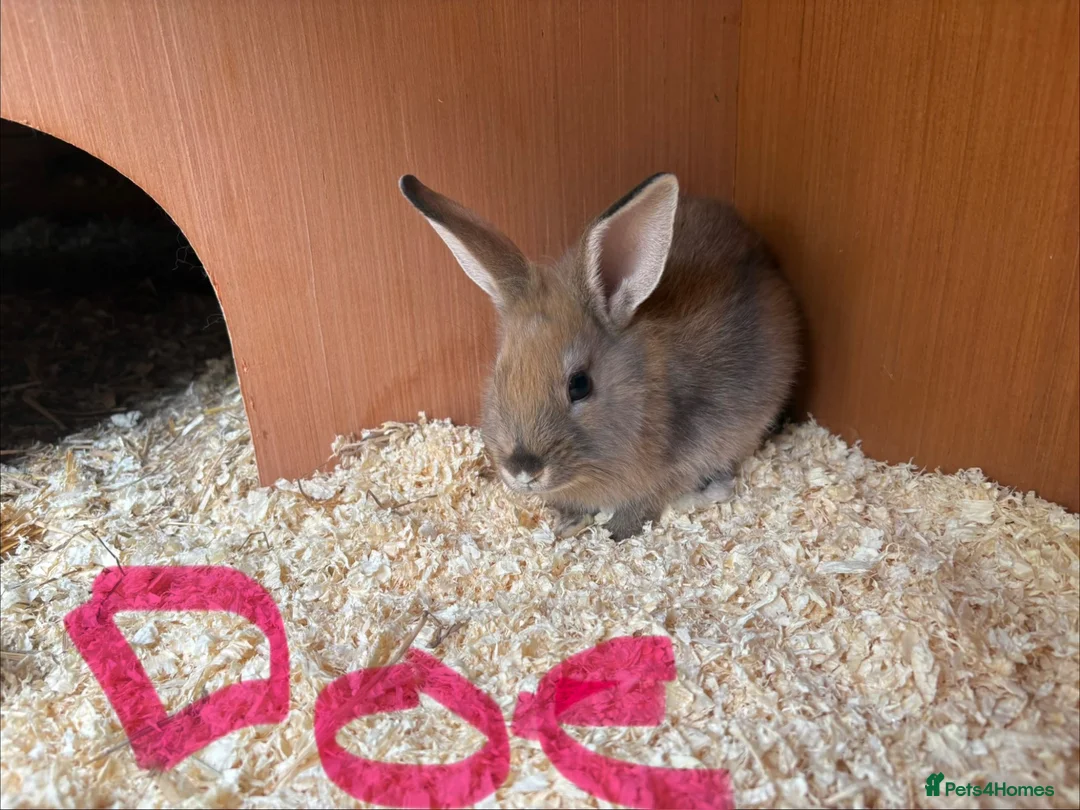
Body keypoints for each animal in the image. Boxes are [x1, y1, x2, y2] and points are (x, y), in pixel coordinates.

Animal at [399, 172, 801, 541]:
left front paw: (611, 532)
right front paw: (567, 523)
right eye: (501, 374)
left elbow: (647, 501)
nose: (523, 469)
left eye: (580, 385)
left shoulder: (681, 462)